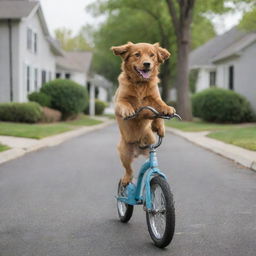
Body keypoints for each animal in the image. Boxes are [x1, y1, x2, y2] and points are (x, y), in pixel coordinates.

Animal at [111, 43, 175, 185]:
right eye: (137, 54)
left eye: (152, 55)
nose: (147, 64)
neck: (140, 83)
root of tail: (138, 148)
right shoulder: (119, 101)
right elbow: (126, 104)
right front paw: (129, 110)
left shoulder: (155, 98)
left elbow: (160, 106)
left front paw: (166, 112)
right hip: (124, 152)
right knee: (129, 170)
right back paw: (126, 179)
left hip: (150, 144)